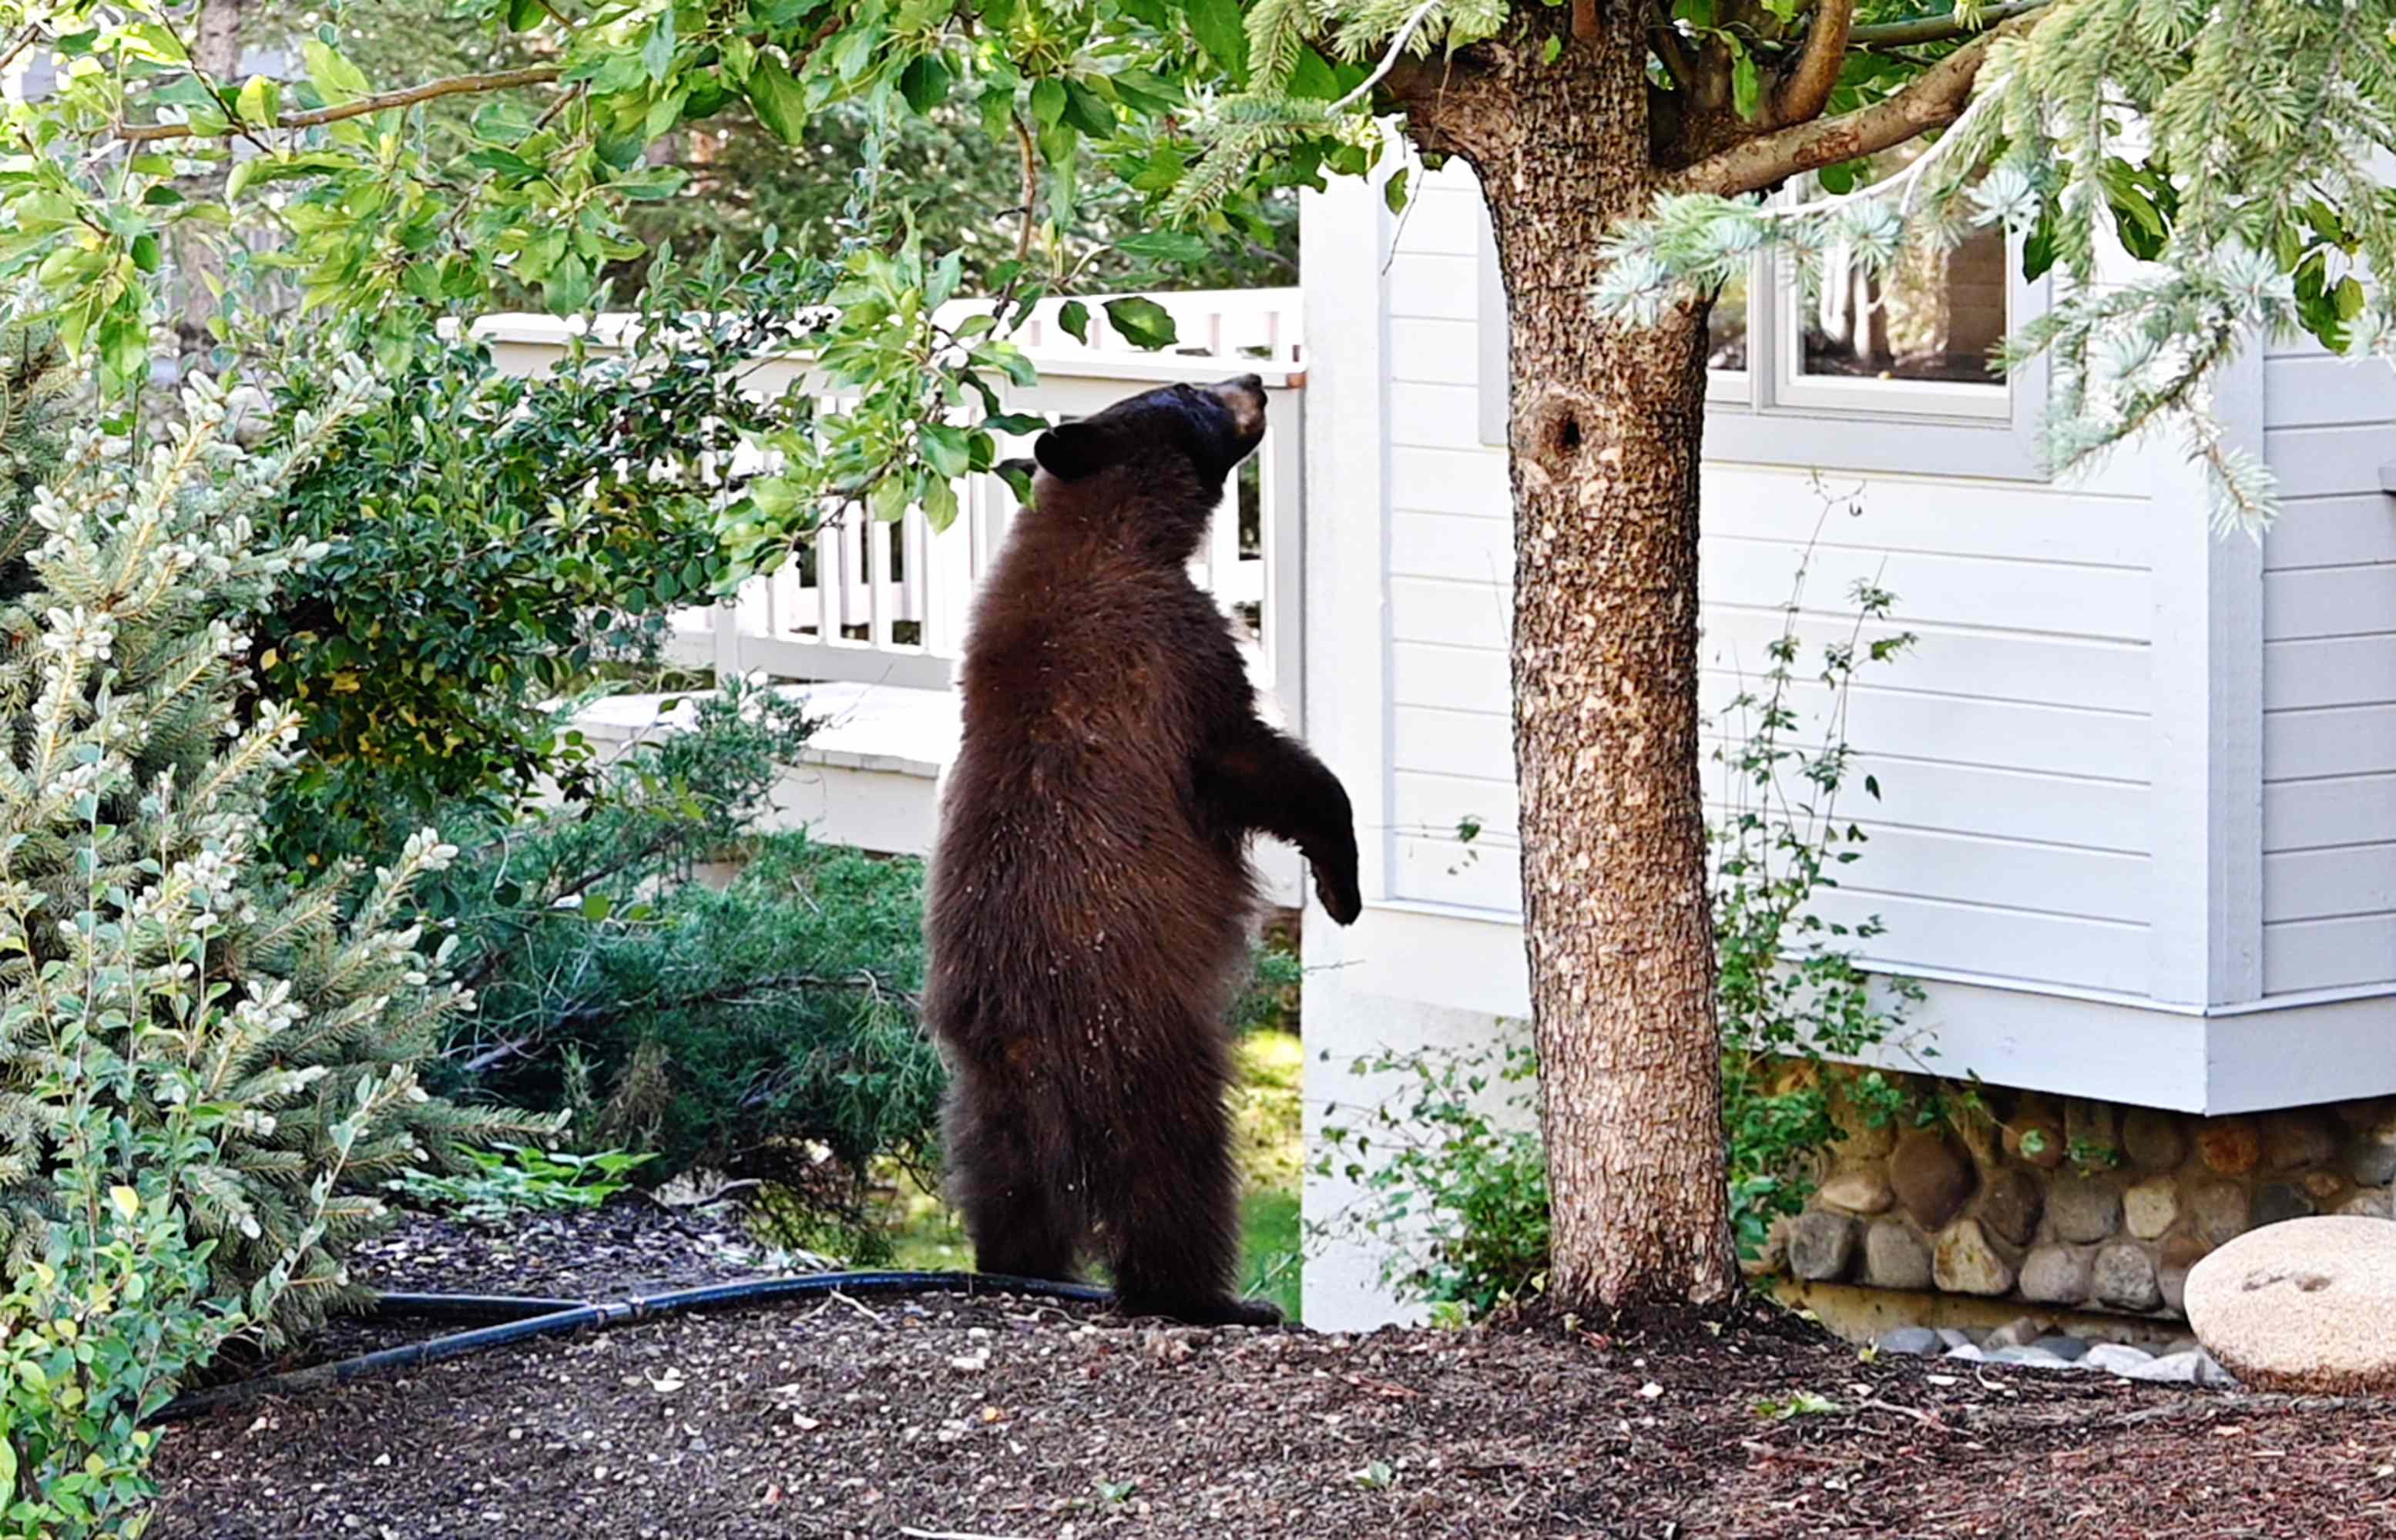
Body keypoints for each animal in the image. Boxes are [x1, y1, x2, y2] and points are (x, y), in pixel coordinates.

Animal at [923, 374, 1361, 1327]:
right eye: (1187, 389)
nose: (1253, 378)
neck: (1110, 530)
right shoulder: (1170, 652)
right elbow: (1253, 761)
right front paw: (1340, 883)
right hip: (1141, 1049)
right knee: (1178, 1176)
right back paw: (1214, 1298)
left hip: (980, 1096)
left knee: (1002, 1186)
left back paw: (1020, 1265)